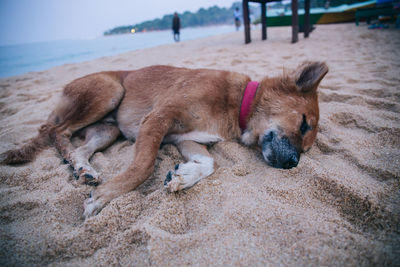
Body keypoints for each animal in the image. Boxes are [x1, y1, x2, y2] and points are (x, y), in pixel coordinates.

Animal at [0, 62, 328, 218]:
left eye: (307, 147)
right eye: (303, 123)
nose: (293, 163)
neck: (237, 104)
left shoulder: (183, 138)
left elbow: (211, 163)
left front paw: (183, 176)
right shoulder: (157, 119)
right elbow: (144, 166)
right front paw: (105, 196)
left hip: (108, 130)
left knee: (80, 147)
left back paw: (83, 168)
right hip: (108, 91)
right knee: (55, 130)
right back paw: (73, 159)